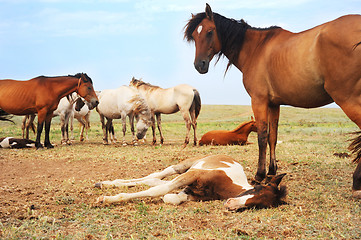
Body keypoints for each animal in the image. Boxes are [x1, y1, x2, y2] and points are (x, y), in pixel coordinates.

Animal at [94, 155, 286, 211]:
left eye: (258, 205)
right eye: (257, 188)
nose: (231, 204)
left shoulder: (191, 193)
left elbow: (169, 197)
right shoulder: (192, 175)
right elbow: (160, 190)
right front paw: (107, 199)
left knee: (152, 179)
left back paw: (106, 184)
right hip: (185, 167)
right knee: (160, 174)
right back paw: (106, 184)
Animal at [184, 4, 360, 199]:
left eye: (209, 32)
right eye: (194, 36)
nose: (199, 65)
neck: (256, 49)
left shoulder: (259, 101)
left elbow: (262, 136)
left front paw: (259, 175)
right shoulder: (274, 104)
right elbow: (273, 137)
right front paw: (271, 171)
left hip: (348, 99)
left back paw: (356, 182)